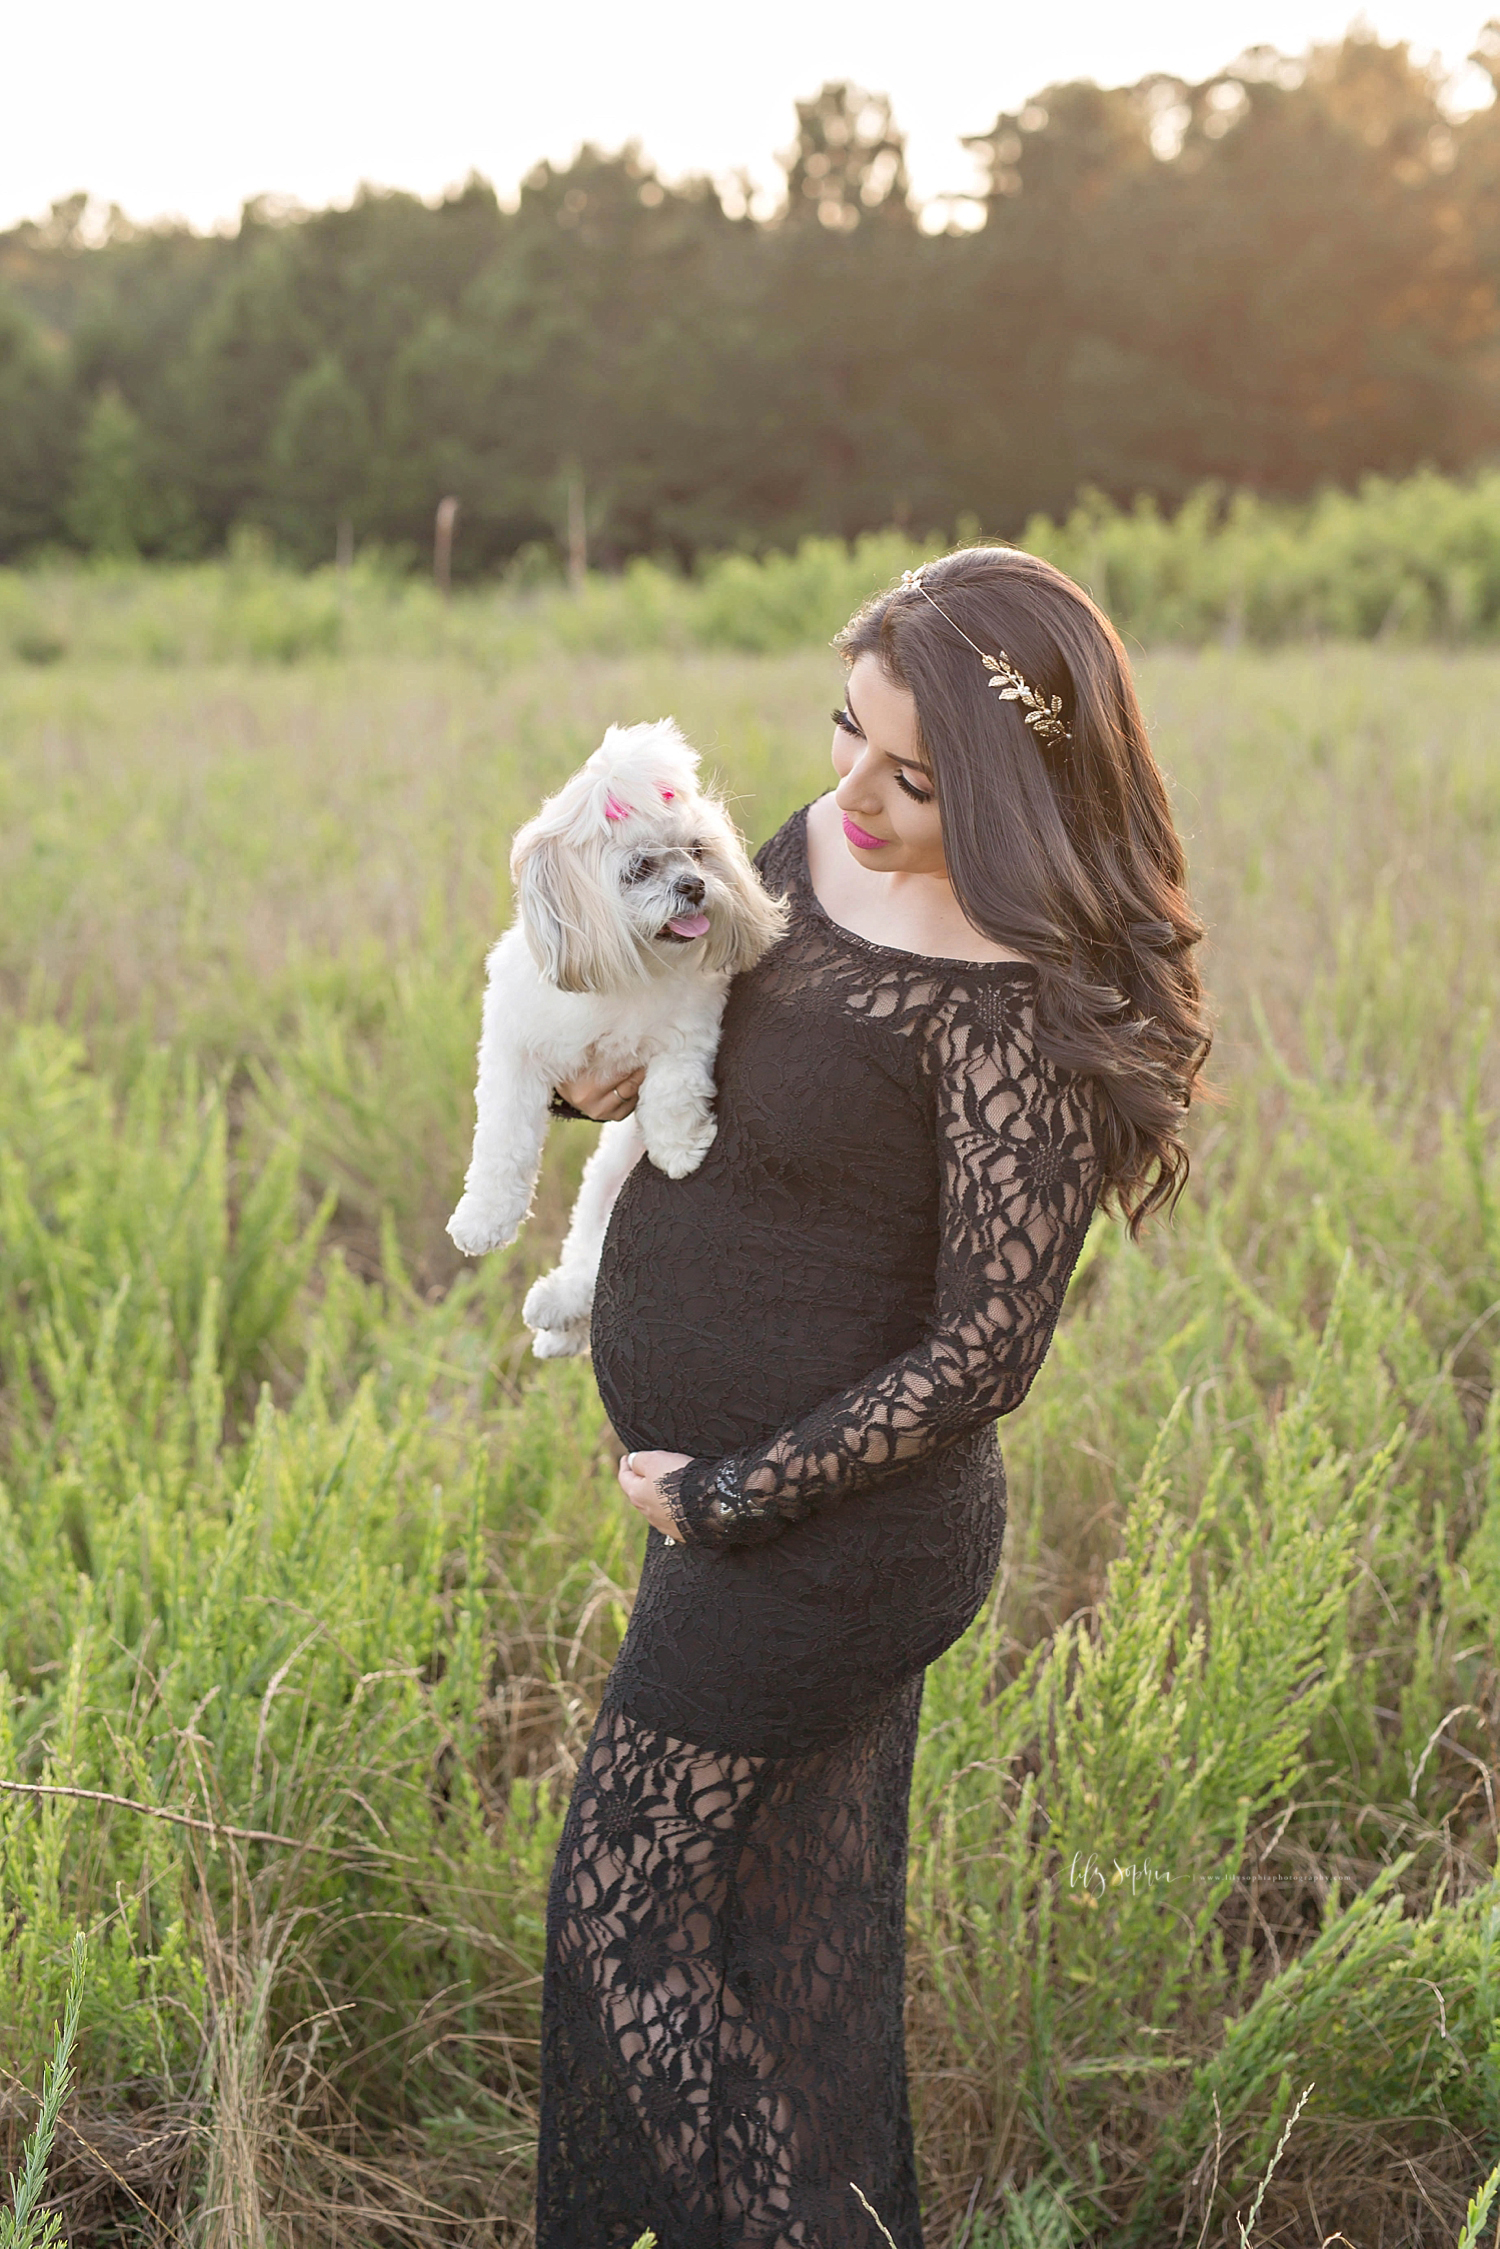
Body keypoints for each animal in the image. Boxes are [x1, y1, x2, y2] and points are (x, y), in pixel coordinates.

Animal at [443, 719, 787, 1349]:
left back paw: (558, 1310)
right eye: (640, 868)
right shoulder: (512, 1050)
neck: (635, 967)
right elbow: (503, 1141)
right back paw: (555, 1310)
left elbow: (672, 1091)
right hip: (602, 1179)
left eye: (698, 852)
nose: (694, 886)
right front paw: (483, 1221)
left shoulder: (690, 1033)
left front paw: (680, 1150)